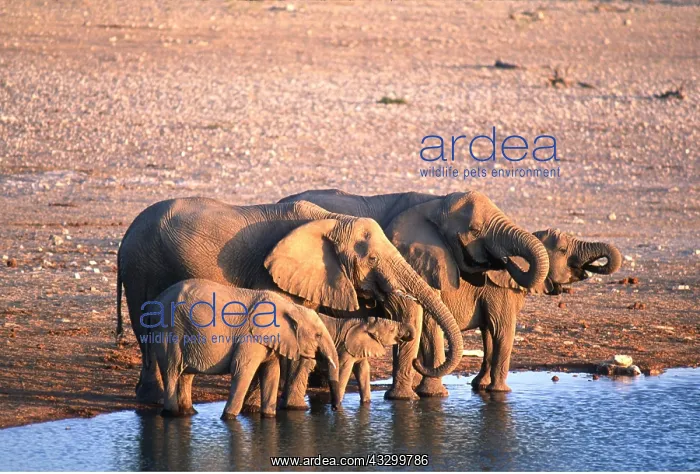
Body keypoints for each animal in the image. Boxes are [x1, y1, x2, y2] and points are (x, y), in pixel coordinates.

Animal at [150, 279, 340, 418]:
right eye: (317, 335)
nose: (335, 408)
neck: (290, 307)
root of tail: (157, 300)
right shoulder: (250, 337)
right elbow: (243, 370)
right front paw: (227, 418)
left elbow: (271, 372)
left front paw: (269, 417)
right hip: (169, 332)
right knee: (172, 370)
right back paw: (171, 414)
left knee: (186, 374)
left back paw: (189, 413)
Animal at [279, 189, 550, 399]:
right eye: (474, 230)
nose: (504, 259)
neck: (436, 202)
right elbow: (417, 316)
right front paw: (413, 396)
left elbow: (425, 318)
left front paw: (424, 392)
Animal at [281, 313, 415, 409]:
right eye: (392, 330)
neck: (365, 322)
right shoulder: (345, 348)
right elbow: (344, 369)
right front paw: (338, 405)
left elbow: (363, 369)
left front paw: (366, 403)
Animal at [418, 228, 622, 393]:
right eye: (563, 250)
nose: (589, 267)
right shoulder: (499, 291)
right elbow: (503, 330)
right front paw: (501, 391)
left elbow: (489, 334)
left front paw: (480, 386)